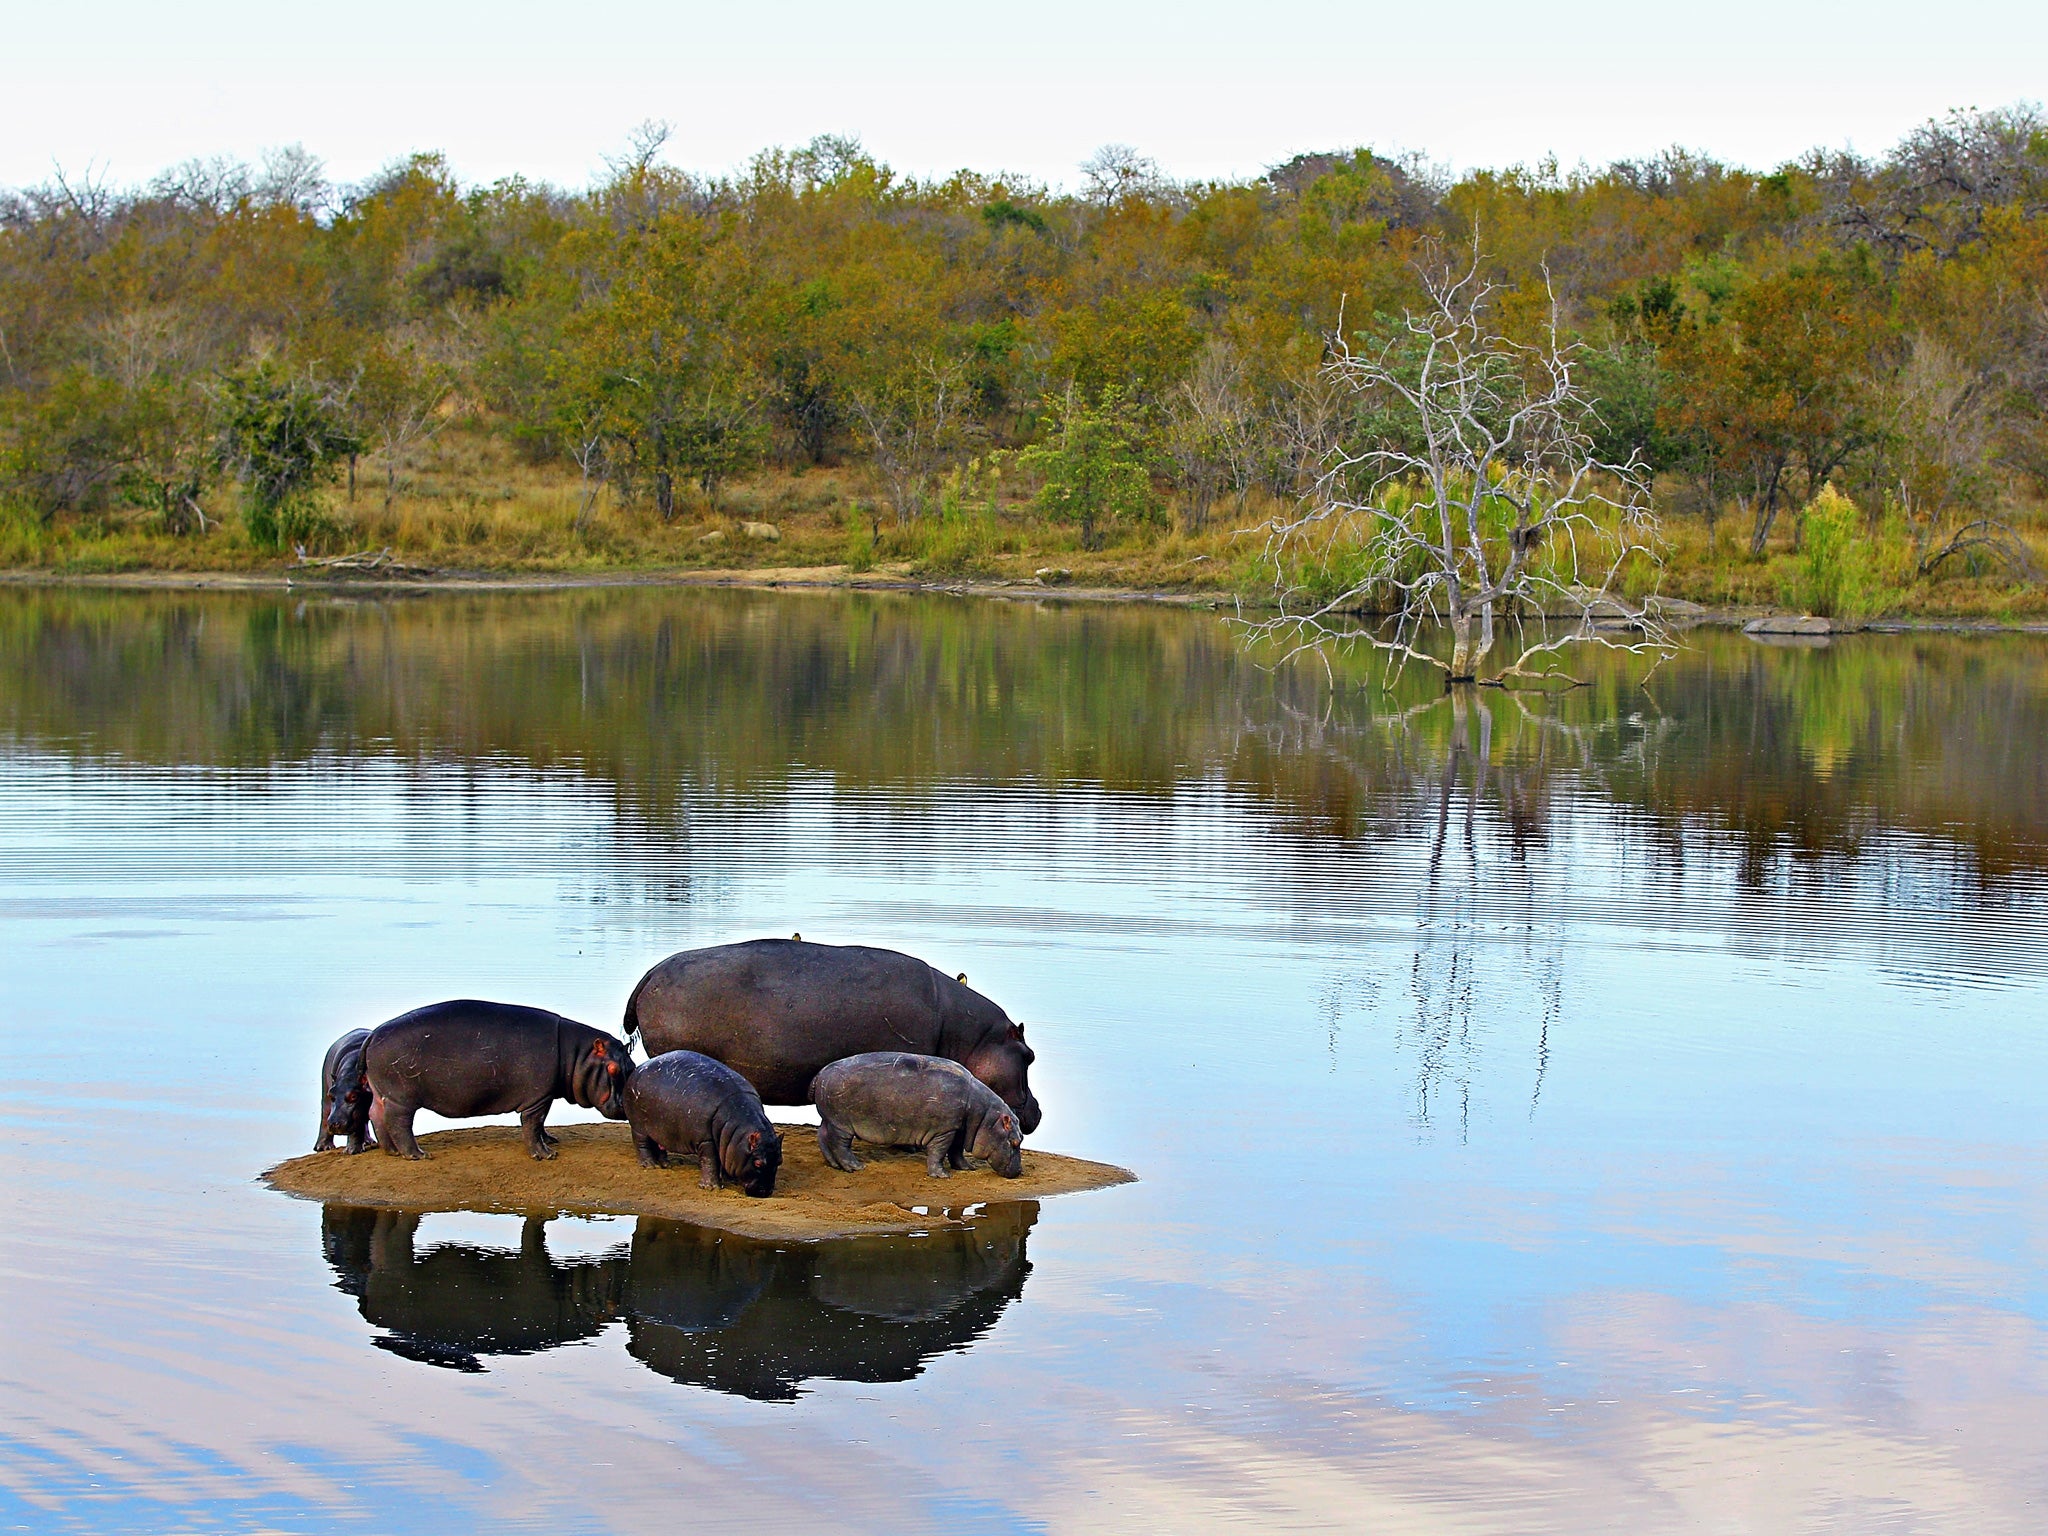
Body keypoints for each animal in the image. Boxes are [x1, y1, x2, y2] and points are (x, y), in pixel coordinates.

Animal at [354, 1000, 633, 1161]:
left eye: (630, 1064)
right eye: (612, 1068)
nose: (625, 1106)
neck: (576, 1054)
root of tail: (373, 1034)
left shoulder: (545, 1096)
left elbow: (541, 1125)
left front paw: (551, 1140)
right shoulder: (538, 1098)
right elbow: (533, 1124)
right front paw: (546, 1155)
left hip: (382, 1093)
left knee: (376, 1114)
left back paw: (391, 1151)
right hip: (401, 1098)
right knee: (399, 1123)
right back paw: (418, 1155)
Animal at [624, 1050, 784, 1197]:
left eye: (779, 1161)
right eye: (758, 1163)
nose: (765, 1192)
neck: (738, 1132)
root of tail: (638, 1069)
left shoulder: (726, 1144)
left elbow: (724, 1158)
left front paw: (729, 1179)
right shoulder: (706, 1140)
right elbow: (710, 1161)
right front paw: (711, 1188)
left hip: (658, 1129)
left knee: (658, 1144)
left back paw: (665, 1164)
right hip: (639, 1127)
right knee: (642, 1144)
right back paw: (650, 1166)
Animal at [812, 1052, 1024, 1179]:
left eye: (1022, 1138)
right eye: (1014, 1141)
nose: (1020, 1171)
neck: (985, 1115)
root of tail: (819, 1074)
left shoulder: (959, 1128)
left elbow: (956, 1151)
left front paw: (967, 1168)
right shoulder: (944, 1130)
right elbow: (939, 1152)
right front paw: (942, 1176)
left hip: (829, 1120)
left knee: (823, 1136)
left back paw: (834, 1165)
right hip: (842, 1124)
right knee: (840, 1145)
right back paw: (856, 1167)